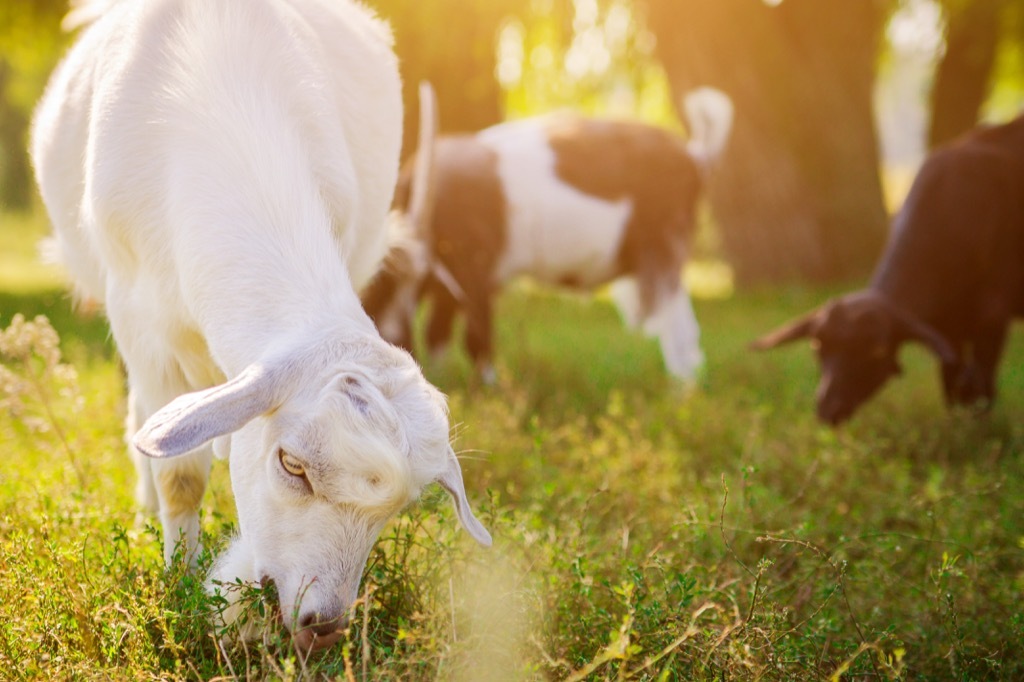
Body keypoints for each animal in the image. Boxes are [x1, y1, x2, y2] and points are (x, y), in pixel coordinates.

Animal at [31, 0, 490, 652]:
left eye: (396, 510)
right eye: (291, 465)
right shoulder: (141, 319)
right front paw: (180, 589)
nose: (323, 625)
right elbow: (179, 477)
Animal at [362, 89, 734, 384]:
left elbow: (477, 336)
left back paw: (681, 394)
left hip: (665, 248)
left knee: (680, 330)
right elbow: (438, 333)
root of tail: (695, 155)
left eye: (385, 281)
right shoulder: (450, 287)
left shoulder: (475, 270)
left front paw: (490, 392)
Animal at [752, 114, 1024, 425]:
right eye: (818, 345)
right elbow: (953, 385)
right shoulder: (947, 329)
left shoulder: (993, 315)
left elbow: (981, 387)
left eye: (877, 349)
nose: (829, 409)